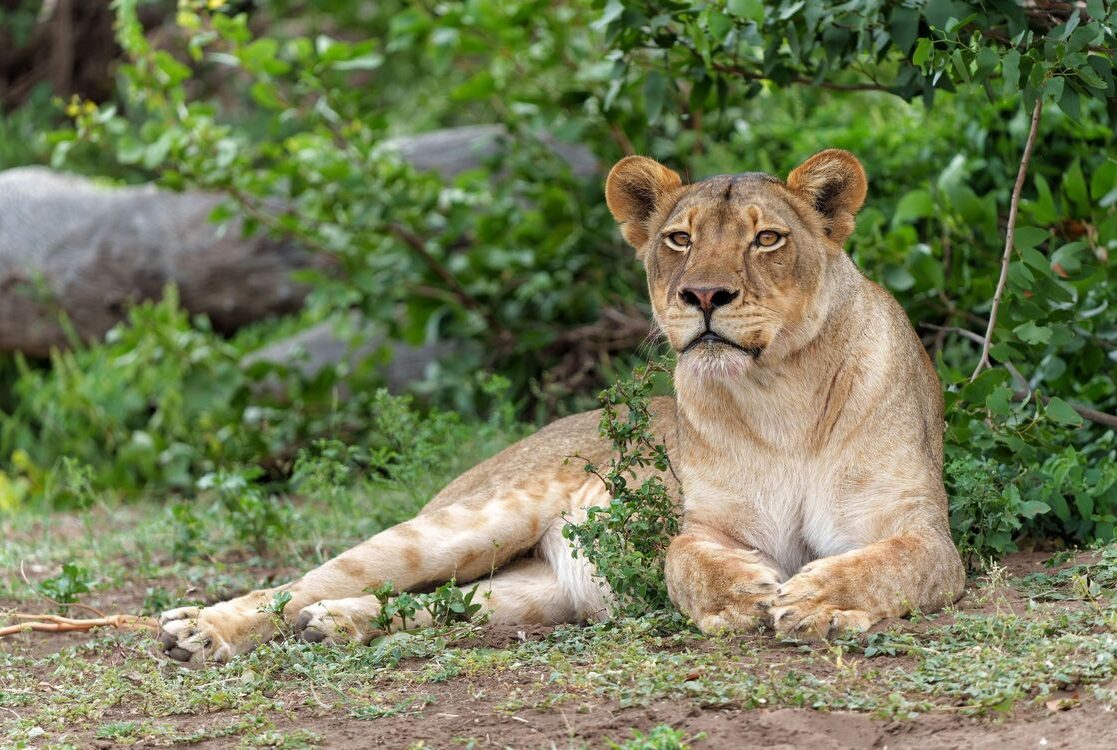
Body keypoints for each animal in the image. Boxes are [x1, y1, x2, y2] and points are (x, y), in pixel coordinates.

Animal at [158, 149, 965, 663]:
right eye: (678, 239)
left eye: (768, 238)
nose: (702, 295)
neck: (780, 397)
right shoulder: (708, 523)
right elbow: (683, 556)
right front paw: (740, 595)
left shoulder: (922, 532)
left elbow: (883, 563)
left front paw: (817, 600)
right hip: (467, 521)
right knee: (301, 583)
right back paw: (201, 630)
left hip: (532, 594)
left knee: (435, 604)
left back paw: (335, 626)